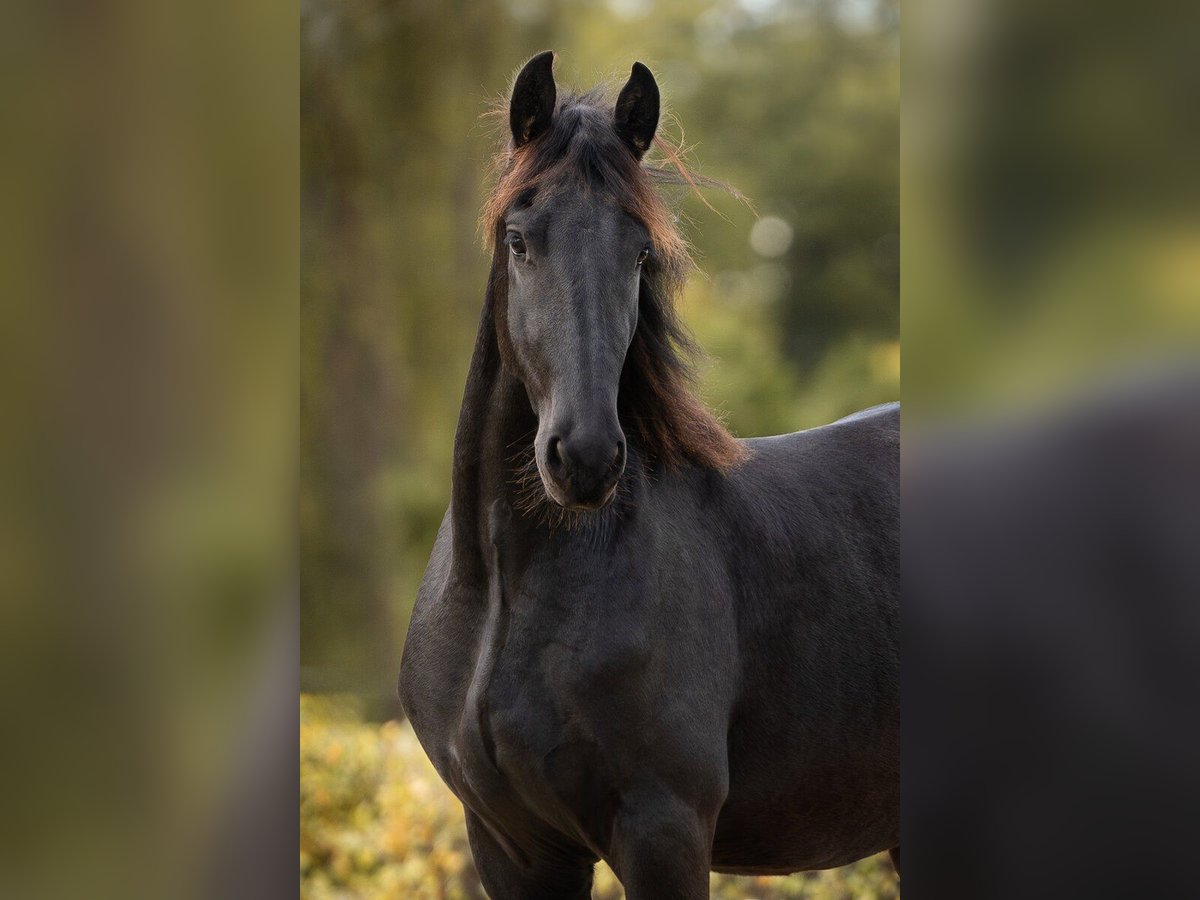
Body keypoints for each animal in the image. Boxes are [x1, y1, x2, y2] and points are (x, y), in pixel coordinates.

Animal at [398, 52, 897, 897]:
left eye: (638, 252)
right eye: (519, 240)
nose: (585, 456)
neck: (505, 597)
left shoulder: (663, 832)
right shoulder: (512, 847)